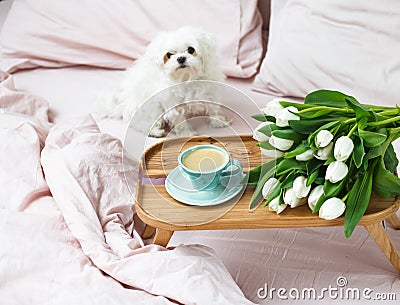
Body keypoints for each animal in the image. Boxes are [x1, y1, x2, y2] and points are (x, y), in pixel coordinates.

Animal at [96, 26, 231, 136]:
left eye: (191, 50)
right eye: (169, 55)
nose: (181, 58)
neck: (186, 78)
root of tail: (122, 104)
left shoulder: (210, 91)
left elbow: (213, 108)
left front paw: (219, 121)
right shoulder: (172, 103)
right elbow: (179, 119)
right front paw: (186, 132)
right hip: (149, 108)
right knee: (140, 124)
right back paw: (155, 131)